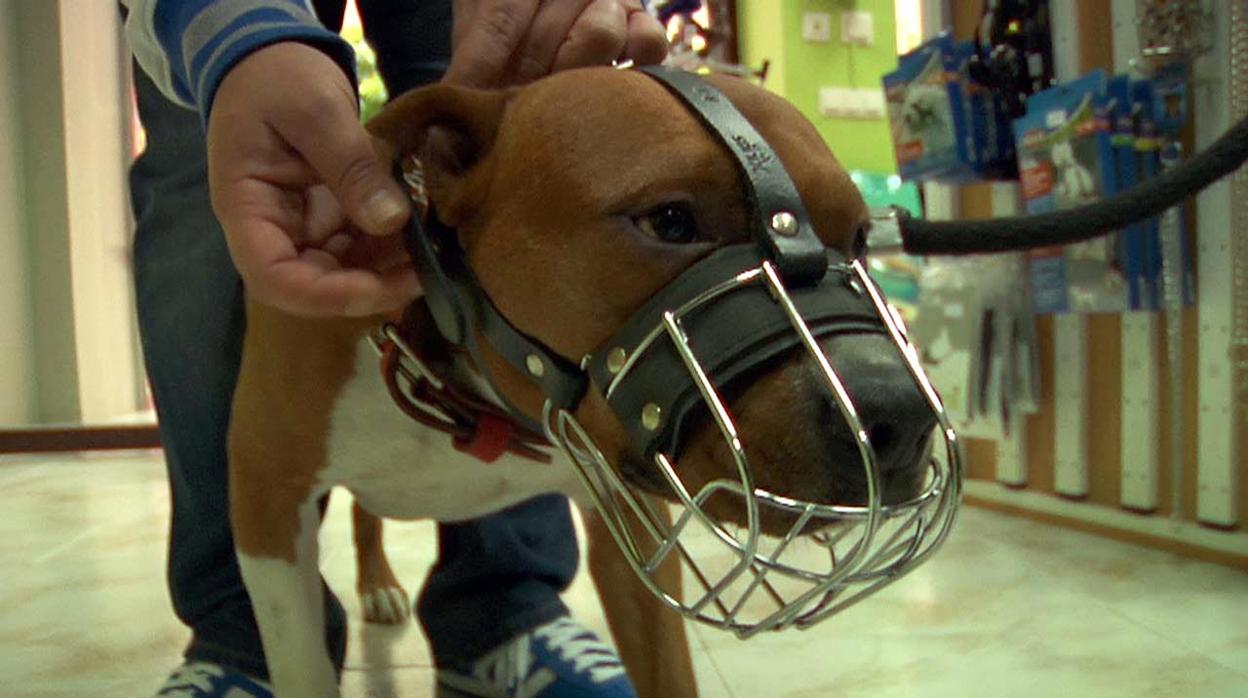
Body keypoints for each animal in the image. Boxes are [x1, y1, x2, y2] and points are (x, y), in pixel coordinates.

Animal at [227, 66, 938, 698]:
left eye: (861, 238)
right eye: (670, 221)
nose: (902, 416)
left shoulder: (635, 535)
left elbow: (666, 667)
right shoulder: (266, 499)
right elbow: (301, 663)